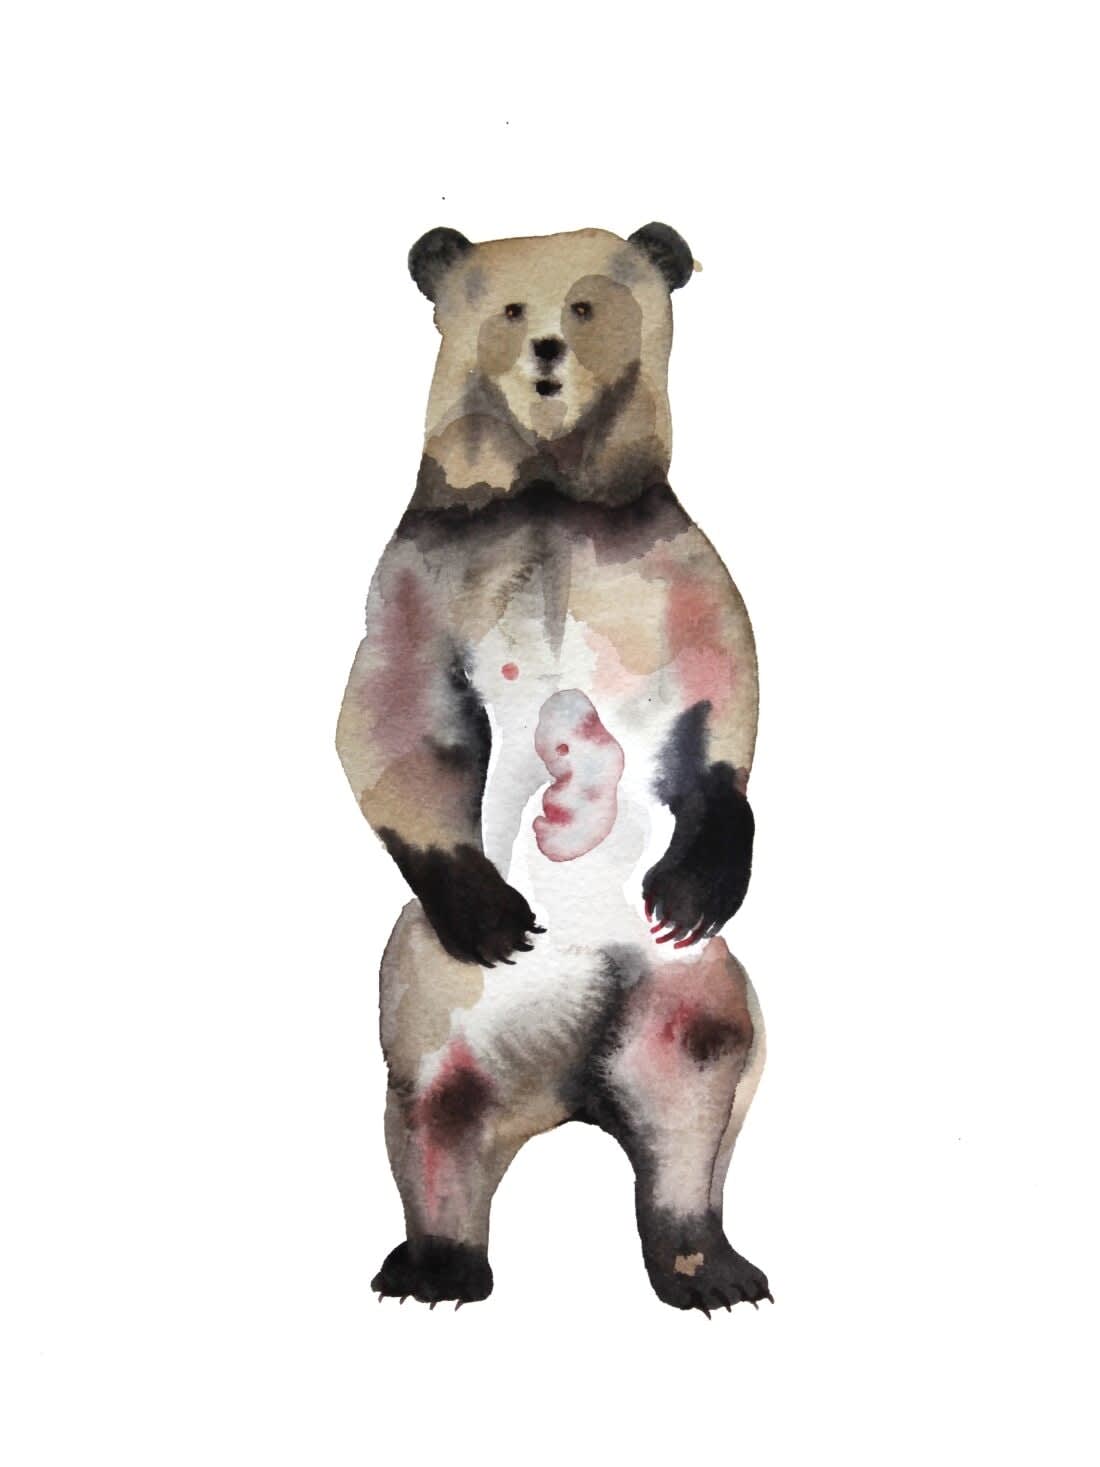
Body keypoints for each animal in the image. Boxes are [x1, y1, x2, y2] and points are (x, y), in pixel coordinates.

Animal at [336, 223, 770, 1313]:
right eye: (505, 308)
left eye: (585, 303)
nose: (545, 352)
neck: (549, 488)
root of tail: (565, 1086)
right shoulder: (425, 566)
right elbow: (391, 715)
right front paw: (493, 909)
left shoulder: (669, 553)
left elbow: (722, 687)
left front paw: (696, 878)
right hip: (429, 980)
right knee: (433, 1102)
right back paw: (435, 1266)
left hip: (684, 983)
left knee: (696, 1079)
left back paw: (706, 1263)